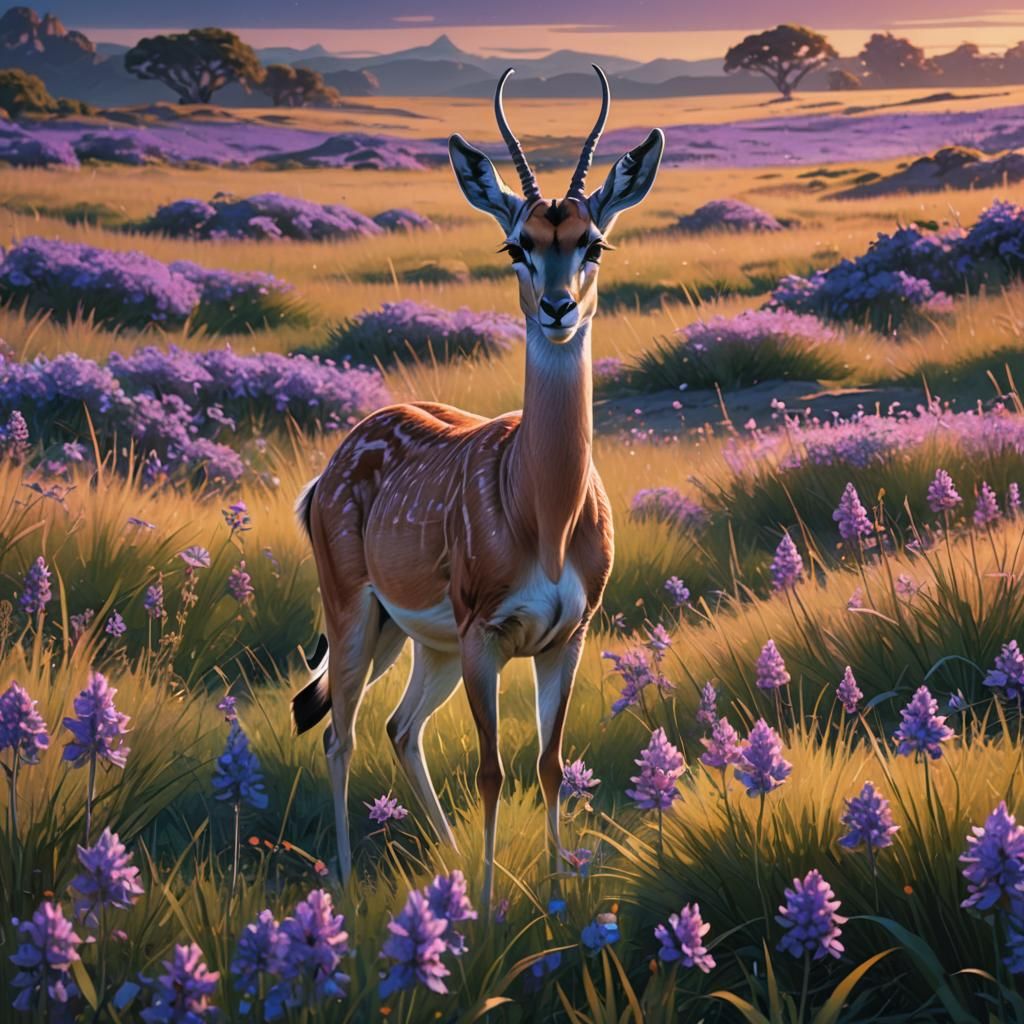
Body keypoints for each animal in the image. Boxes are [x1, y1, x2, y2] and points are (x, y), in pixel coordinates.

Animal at [293, 66, 663, 910]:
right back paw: (350, 877)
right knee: (338, 730)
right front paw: (493, 908)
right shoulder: (483, 634)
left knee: (399, 727)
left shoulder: (568, 635)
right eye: (517, 244)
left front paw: (554, 897)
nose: (558, 307)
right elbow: (494, 771)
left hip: (415, 639)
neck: (546, 517)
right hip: (357, 614)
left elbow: (550, 765)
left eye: (592, 241)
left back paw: (451, 859)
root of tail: (324, 476)